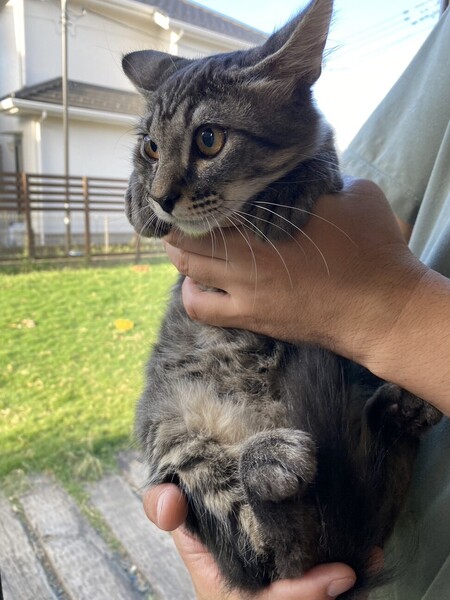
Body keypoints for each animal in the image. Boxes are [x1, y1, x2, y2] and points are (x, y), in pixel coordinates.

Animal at [122, 0, 442, 597]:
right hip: (180, 436)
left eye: (209, 139)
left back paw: (394, 414)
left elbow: (324, 159)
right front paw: (141, 202)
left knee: (329, 527)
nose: (164, 196)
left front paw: (294, 186)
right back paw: (274, 464)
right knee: (267, 556)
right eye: (150, 148)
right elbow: (133, 209)